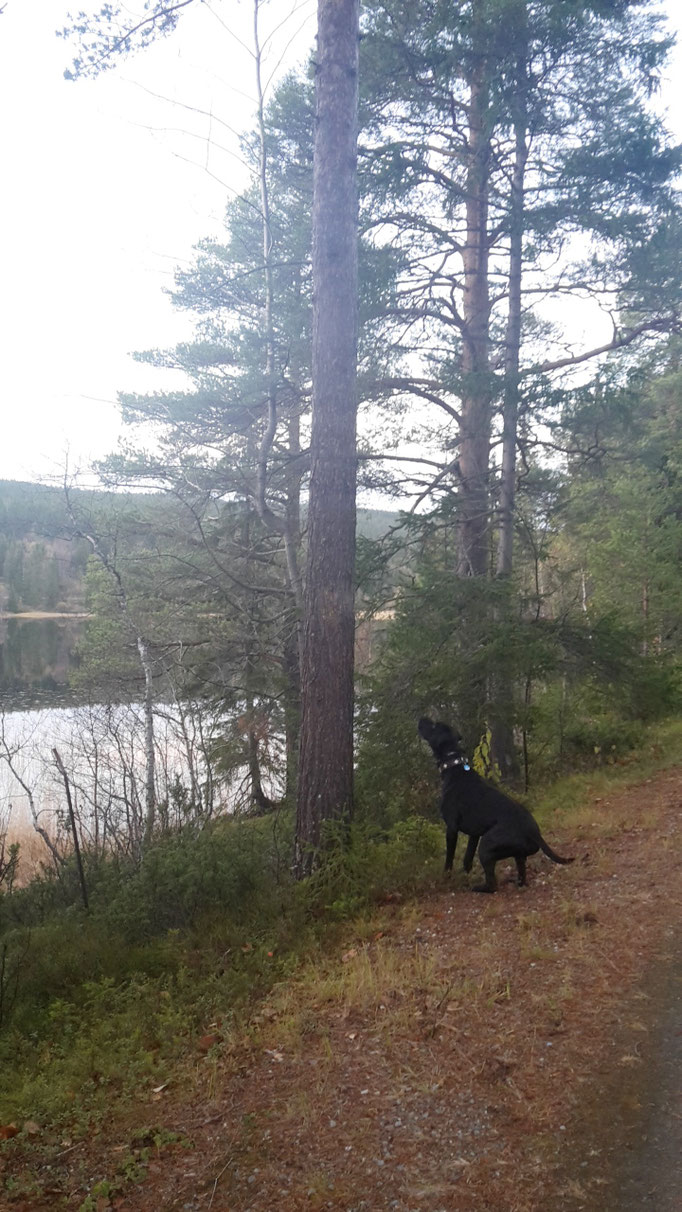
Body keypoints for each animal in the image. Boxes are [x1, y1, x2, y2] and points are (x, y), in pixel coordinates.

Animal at [419, 717, 574, 892]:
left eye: (433, 726)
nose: (421, 719)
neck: (454, 766)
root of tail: (535, 832)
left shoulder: (451, 828)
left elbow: (449, 857)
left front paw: (447, 876)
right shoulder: (474, 834)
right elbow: (467, 858)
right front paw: (464, 874)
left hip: (486, 846)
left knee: (492, 884)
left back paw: (478, 888)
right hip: (516, 854)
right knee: (522, 875)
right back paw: (515, 881)